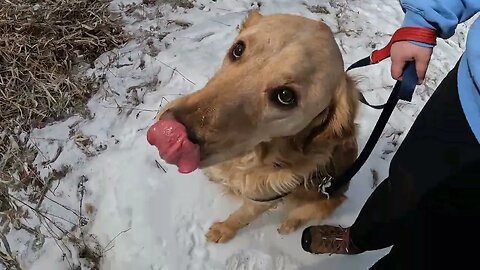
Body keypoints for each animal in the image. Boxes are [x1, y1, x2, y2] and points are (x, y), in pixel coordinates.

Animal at [150, 10, 360, 243]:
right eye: (238, 49)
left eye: (285, 96)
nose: (169, 133)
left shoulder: (263, 200)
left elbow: (240, 217)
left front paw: (223, 230)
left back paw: (288, 224)